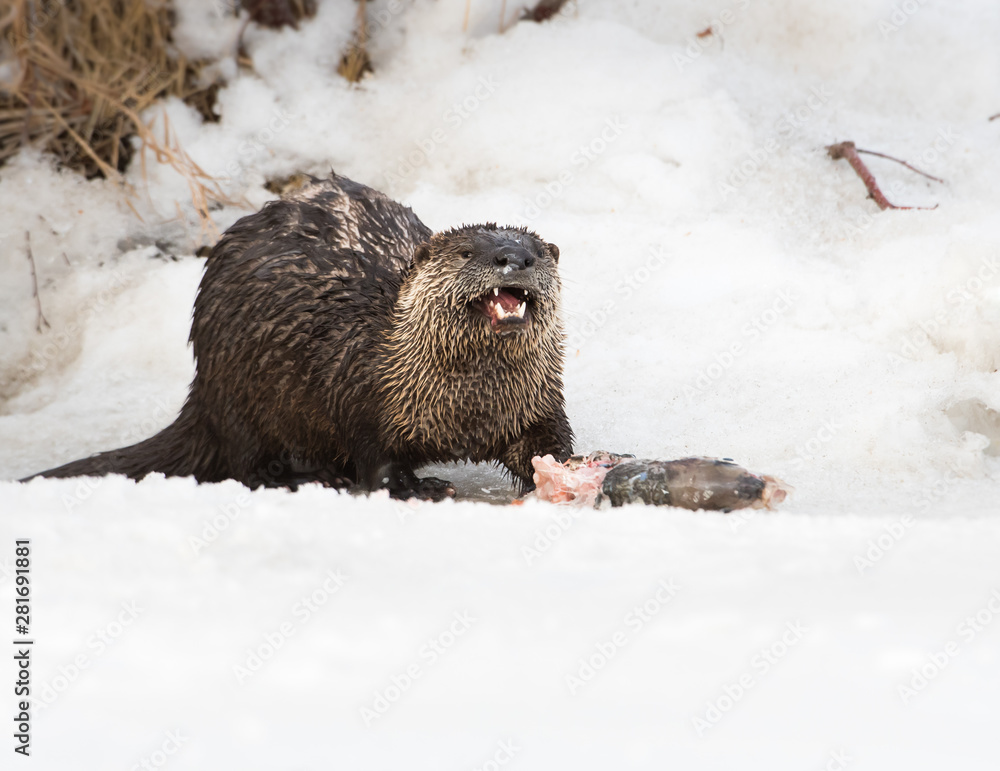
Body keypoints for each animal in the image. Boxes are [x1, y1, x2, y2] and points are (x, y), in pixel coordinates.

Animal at [25, 174, 573, 499]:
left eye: (535, 253)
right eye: (466, 252)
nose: (513, 258)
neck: (467, 407)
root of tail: (204, 394)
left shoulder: (537, 399)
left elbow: (547, 443)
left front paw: (571, 468)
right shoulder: (361, 392)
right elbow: (376, 460)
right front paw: (418, 487)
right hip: (242, 393)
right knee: (247, 465)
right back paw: (312, 475)